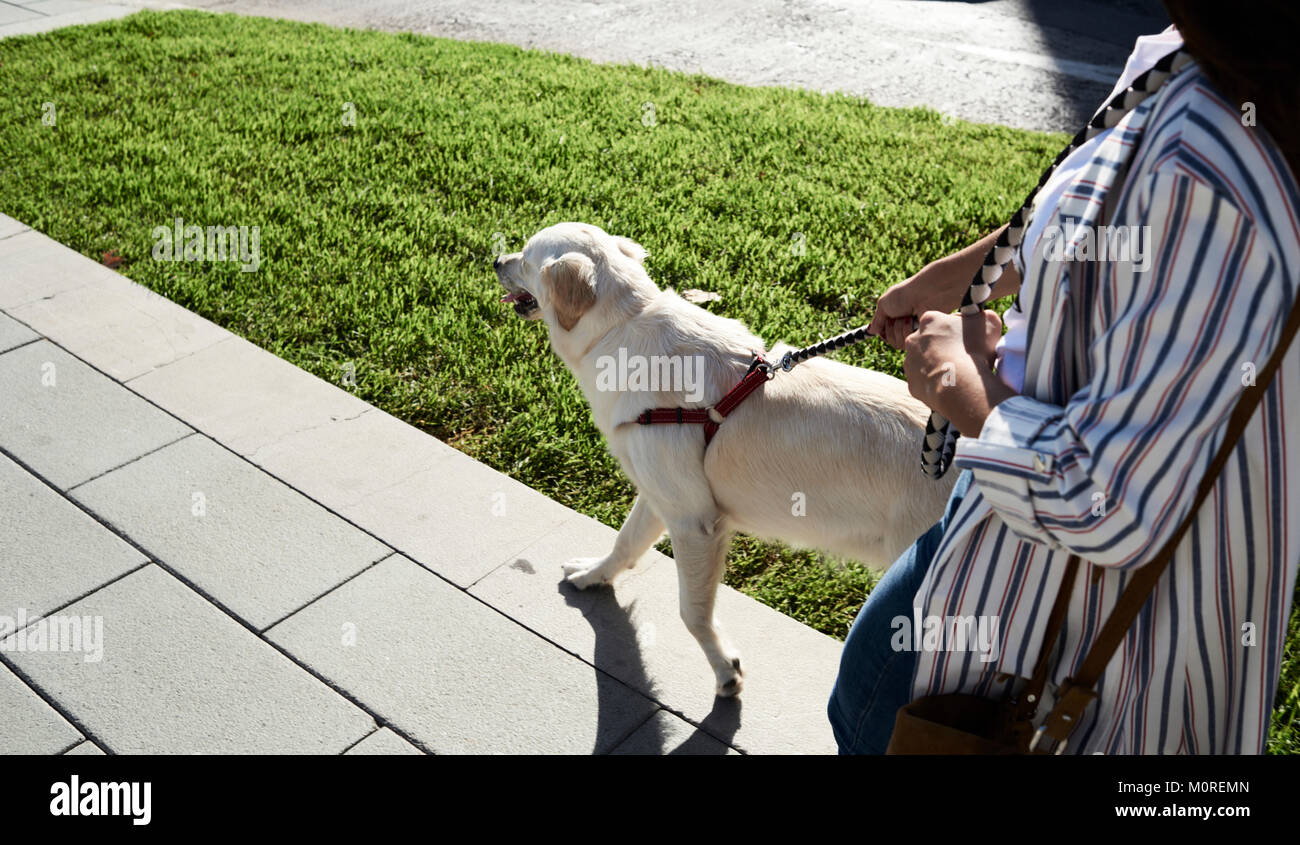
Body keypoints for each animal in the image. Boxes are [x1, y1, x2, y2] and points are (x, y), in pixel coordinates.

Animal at [493, 220, 956, 696]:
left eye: (525, 257)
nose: (495, 261)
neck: (622, 326)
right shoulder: (665, 497)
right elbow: (625, 542)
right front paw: (592, 575)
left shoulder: (696, 524)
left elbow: (692, 613)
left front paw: (724, 669)